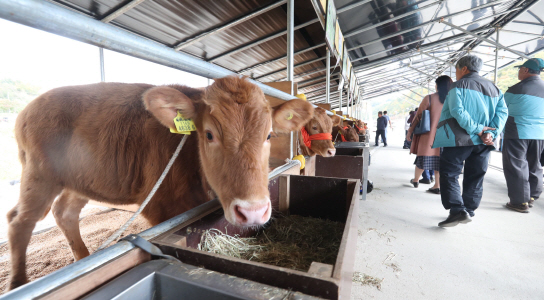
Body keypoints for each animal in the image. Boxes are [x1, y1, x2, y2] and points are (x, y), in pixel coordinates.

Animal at [6, 75, 312, 288]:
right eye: (209, 134)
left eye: (269, 135)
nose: (252, 212)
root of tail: (27, 109)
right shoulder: (162, 207)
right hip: (39, 174)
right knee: (20, 221)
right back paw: (18, 283)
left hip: (80, 180)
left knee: (64, 212)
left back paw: (83, 258)